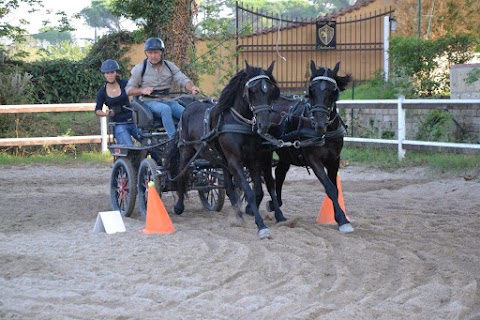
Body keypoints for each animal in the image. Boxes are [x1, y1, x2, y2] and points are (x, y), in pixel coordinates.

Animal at [165, 61, 284, 239]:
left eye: (270, 90)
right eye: (253, 91)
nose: (264, 124)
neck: (238, 122)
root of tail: (189, 106)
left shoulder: (253, 160)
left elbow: (257, 191)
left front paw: (251, 216)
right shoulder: (235, 160)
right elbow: (249, 191)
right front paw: (262, 227)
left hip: (222, 160)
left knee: (228, 186)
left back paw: (239, 215)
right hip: (187, 150)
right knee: (181, 174)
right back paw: (179, 206)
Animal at [270, 60, 352, 232]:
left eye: (332, 91)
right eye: (311, 90)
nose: (319, 124)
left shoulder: (334, 160)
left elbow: (335, 188)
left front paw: (340, 218)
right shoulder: (314, 160)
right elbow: (329, 187)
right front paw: (342, 219)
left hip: (286, 153)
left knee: (279, 173)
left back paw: (275, 205)